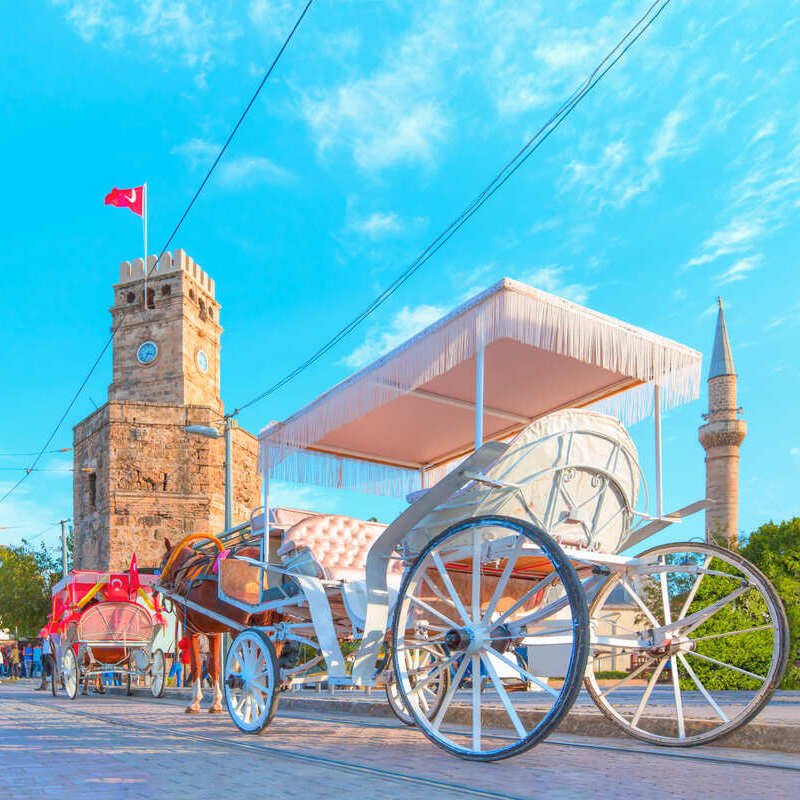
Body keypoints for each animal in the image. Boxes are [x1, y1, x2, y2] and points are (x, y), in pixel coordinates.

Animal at [159, 536, 282, 712]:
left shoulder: (190, 629)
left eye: (163, 560)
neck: (186, 570)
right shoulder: (213, 632)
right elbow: (214, 666)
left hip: (240, 629)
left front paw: (195, 701)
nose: (161, 583)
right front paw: (216, 702)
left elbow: (197, 665)